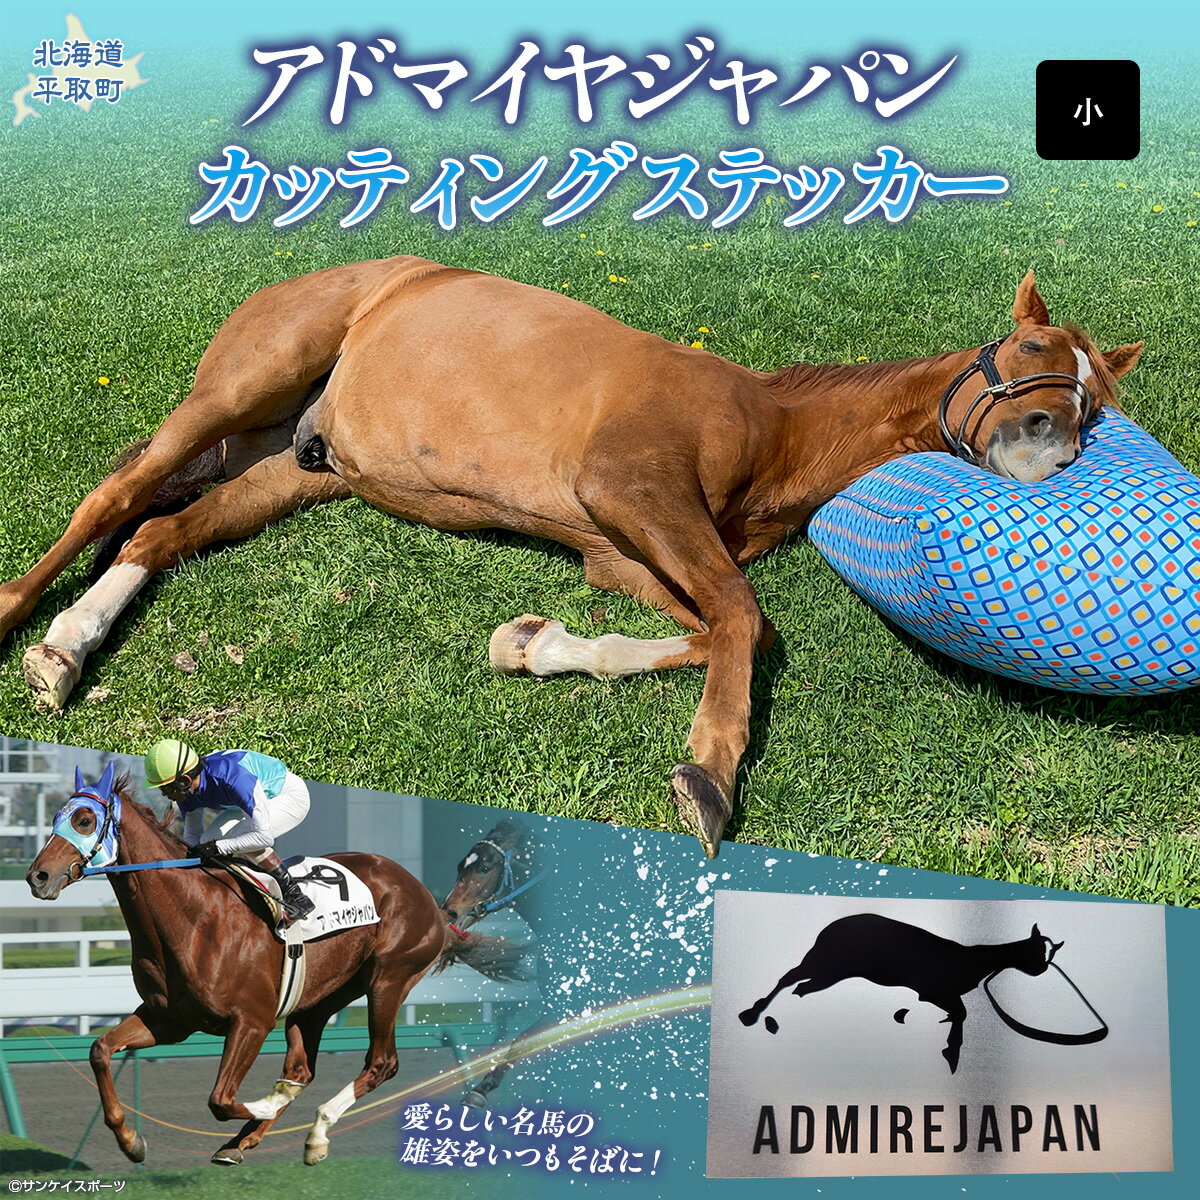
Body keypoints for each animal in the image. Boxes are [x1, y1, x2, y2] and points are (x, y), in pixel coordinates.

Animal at [0, 264, 1143, 856]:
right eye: (1030, 354)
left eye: (1097, 402)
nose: (1048, 451)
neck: (766, 426)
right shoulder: (632, 493)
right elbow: (743, 621)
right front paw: (709, 775)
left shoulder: (621, 551)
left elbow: (709, 627)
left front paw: (532, 644)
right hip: (239, 391)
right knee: (116, 498)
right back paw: (28, 624)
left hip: (294, 467)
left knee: (158, 531)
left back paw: (69, 646)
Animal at [24, 764, 514, 1167]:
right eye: (54, 817)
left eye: (84, 820)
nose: (37, 877)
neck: (193, 916)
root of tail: (432, 903)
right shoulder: (170, 1018)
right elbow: (99, 1050)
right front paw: (131, 1141)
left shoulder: (252, 1021)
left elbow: (221, 1098)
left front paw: (264, 1104)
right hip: (317, 998)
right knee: (301, 1070)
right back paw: (246, 1139)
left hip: (389, 979)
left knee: (381, 1062)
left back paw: (313, 1133)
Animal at [738, 914, 1075, 1073]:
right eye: (1036, 954)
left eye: (1050, 957)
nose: (1041, 971)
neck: (974, 961)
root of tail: (830, 927)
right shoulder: (932, 990)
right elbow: (960, 1013)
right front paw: (952, 1052)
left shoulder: (942, 994)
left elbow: (958, 1014)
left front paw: (949, 1045)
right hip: (824, 961)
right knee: (788, 977)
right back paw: (751, 1014)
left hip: (832, 971)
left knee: (801, 985)